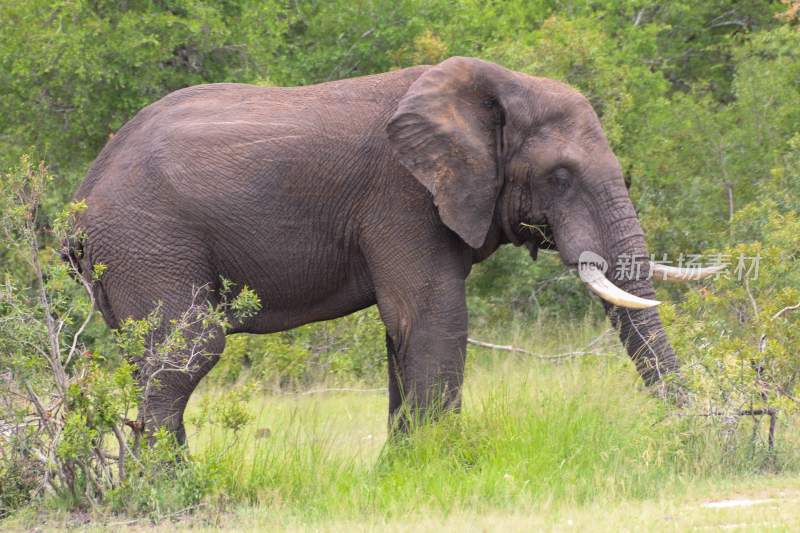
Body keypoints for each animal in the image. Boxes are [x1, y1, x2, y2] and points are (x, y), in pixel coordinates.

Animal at [65, 56, 716, 442]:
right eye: (559, 176)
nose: (692, 441)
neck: (489, 89)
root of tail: (82, 193)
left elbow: (401, 331)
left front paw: (405, 468)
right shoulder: (401, 198)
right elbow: (433, 319)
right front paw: (441, 467)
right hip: (146, 239)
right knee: (188, 351)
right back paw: (174, 491)